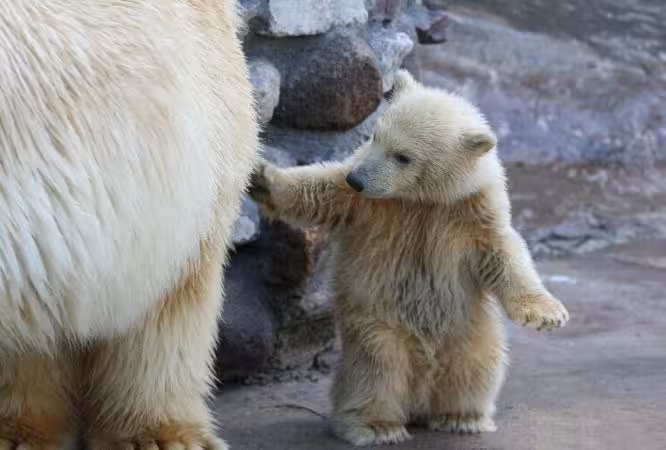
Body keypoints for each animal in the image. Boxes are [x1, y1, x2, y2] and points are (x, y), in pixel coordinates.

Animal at [248, 69, 569, 446]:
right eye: (375, 135)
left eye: (403, 156)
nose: (358, 179)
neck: (421, 200)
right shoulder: (366, 203)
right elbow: (320, 189)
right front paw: (262, 176)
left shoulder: (473, 209)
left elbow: (503, 252)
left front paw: (547, 315)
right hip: (379, 324)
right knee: (377, 369)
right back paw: (377, 426)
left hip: (469, 327)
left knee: (477, 365)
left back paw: (462, 417)